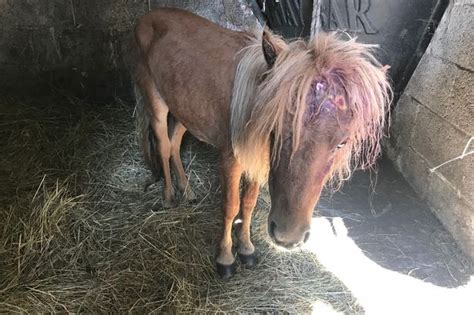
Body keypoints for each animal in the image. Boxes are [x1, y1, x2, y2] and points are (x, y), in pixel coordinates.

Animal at [131, 8, 390, 278]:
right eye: (276, 131)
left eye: (342, 143)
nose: (288, 236)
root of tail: (147, 17)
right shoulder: (231, 160)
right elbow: (231, 205)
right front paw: (225, 258)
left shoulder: (257, 160)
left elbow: (248, 204)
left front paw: (246, 248)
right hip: (155, 99)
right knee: (162, 145)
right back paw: (169, 196)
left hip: (184, 108)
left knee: (174, 143)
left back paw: (187, 190)